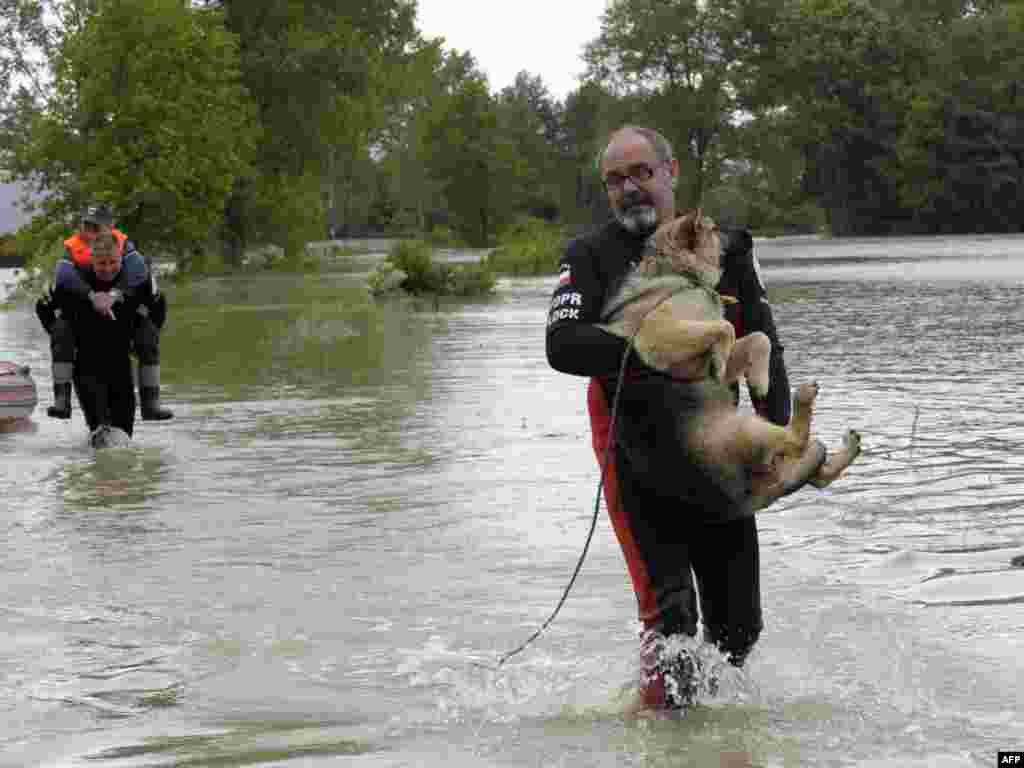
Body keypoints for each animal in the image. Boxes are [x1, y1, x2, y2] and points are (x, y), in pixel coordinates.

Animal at [598, 210, 860, 512]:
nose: (749, 235)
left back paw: (849, 445)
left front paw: (758, 380)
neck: (679, 273)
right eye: (714, 229)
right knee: (797, 442)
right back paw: (804, 397)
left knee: (816, 470)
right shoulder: (658, 337)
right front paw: (724, 361)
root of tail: (749, 494)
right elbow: (726, 328)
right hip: (750, 429)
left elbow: (758, 338)